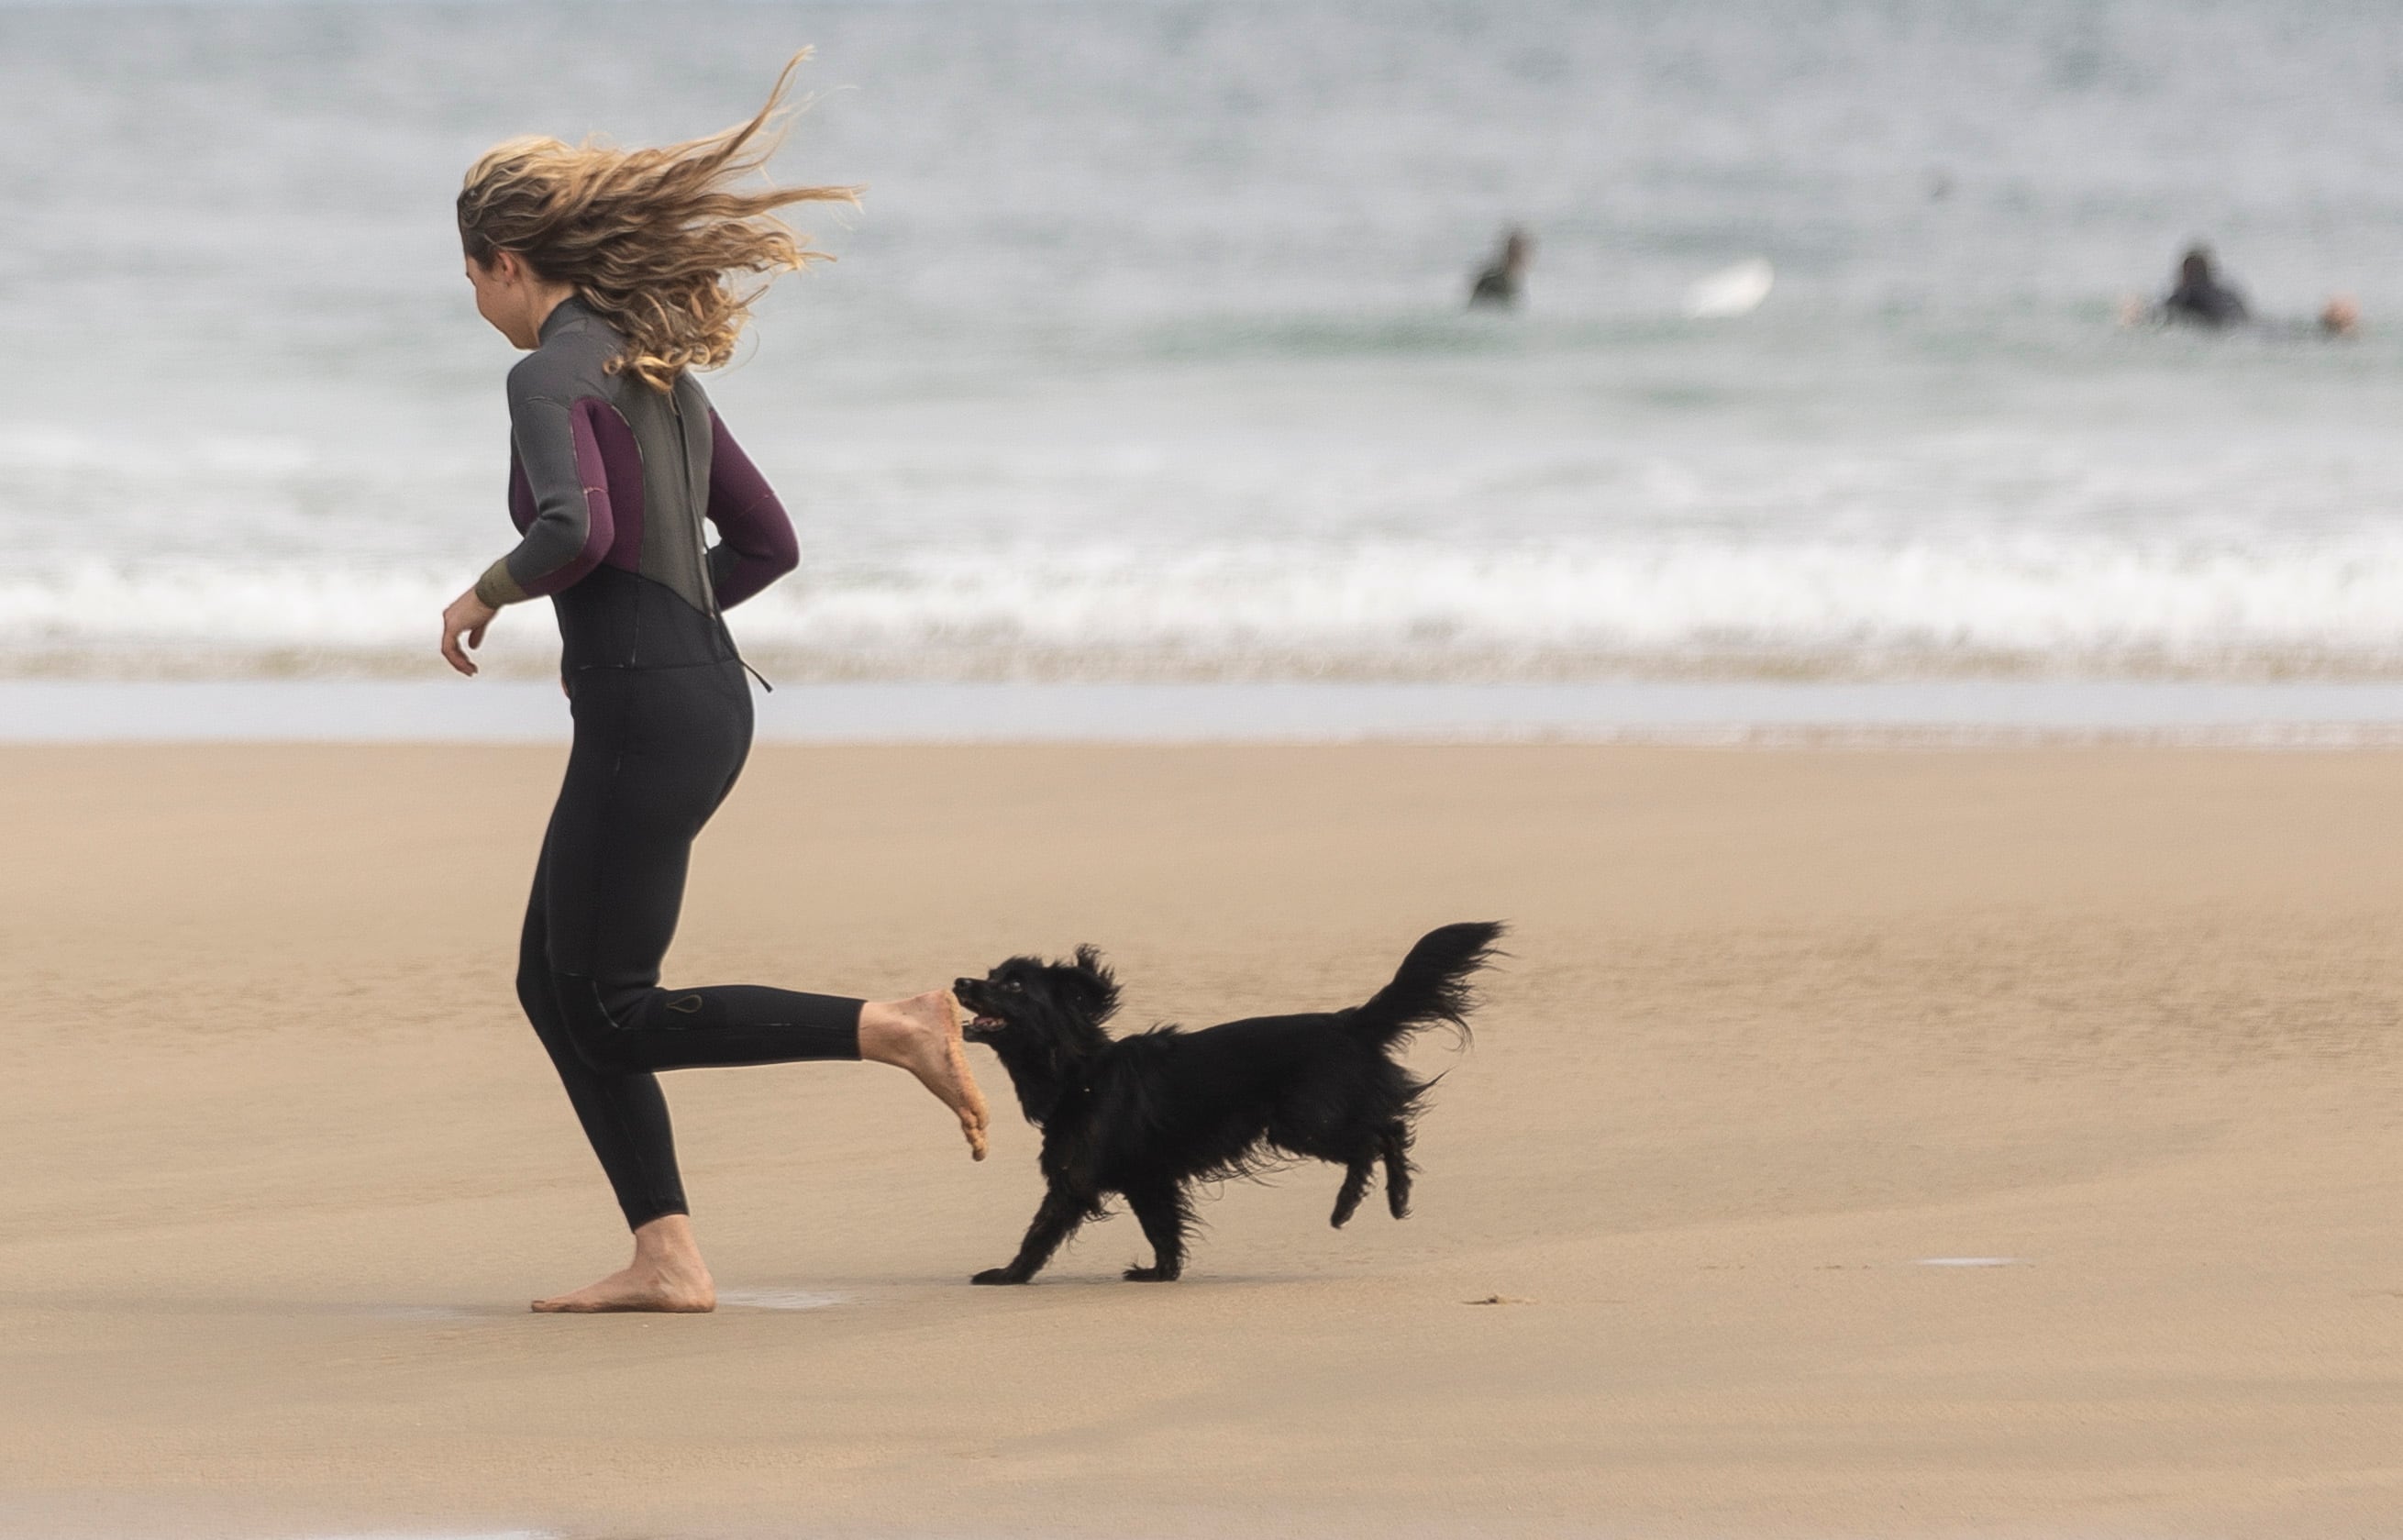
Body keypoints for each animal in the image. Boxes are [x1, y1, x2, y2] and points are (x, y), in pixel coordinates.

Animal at [951, 917, 1499, 1278]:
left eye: (1014, 984)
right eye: (991, 975)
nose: (959, 980)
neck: (1079, 1069)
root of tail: (1349, 1023)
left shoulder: (1078, 1174)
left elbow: (1042, 1228)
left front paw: (1007, 1275)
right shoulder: (1147, 1177)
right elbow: (1162, 1229)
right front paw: (1162, 1273)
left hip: (1301, 1122)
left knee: (1380, 1135)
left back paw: (1363, 1204)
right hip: (1307, 1120)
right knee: (1387, 1130)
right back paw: (1382, 1201)